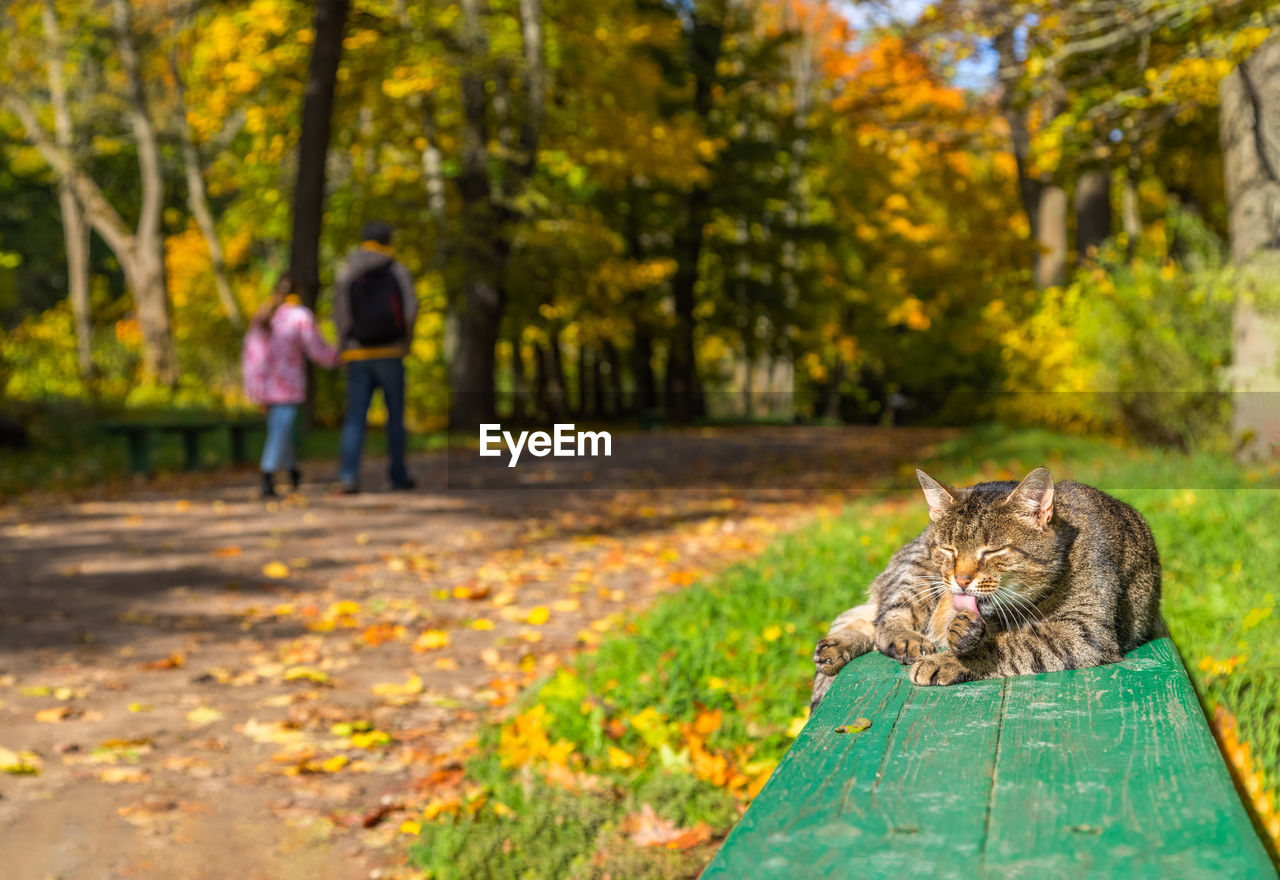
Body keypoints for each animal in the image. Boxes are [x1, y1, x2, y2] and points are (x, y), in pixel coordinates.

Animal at [814, 468, 1167, 706]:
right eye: (949, 550)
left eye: (993, 551)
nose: (961, 579)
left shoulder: (1083, 631)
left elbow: (1012, 644)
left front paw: (949, 659)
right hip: (917, 575)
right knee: (884, 620)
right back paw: (892, 641)